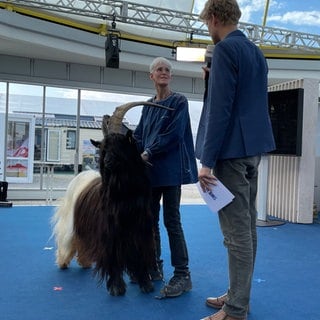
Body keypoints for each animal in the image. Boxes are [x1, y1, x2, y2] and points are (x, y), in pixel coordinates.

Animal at [51, 102, 170, 296]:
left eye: (119, 145)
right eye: (103, 148)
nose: (107, 162)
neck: (124, 193)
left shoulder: (140, 227)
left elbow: (140, 253)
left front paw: (146, 284)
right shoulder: (110, 229)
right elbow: (113, 254)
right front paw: (116, 287)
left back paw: (84, 262)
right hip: (71, 219)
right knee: (68, 238)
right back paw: (62, 262)